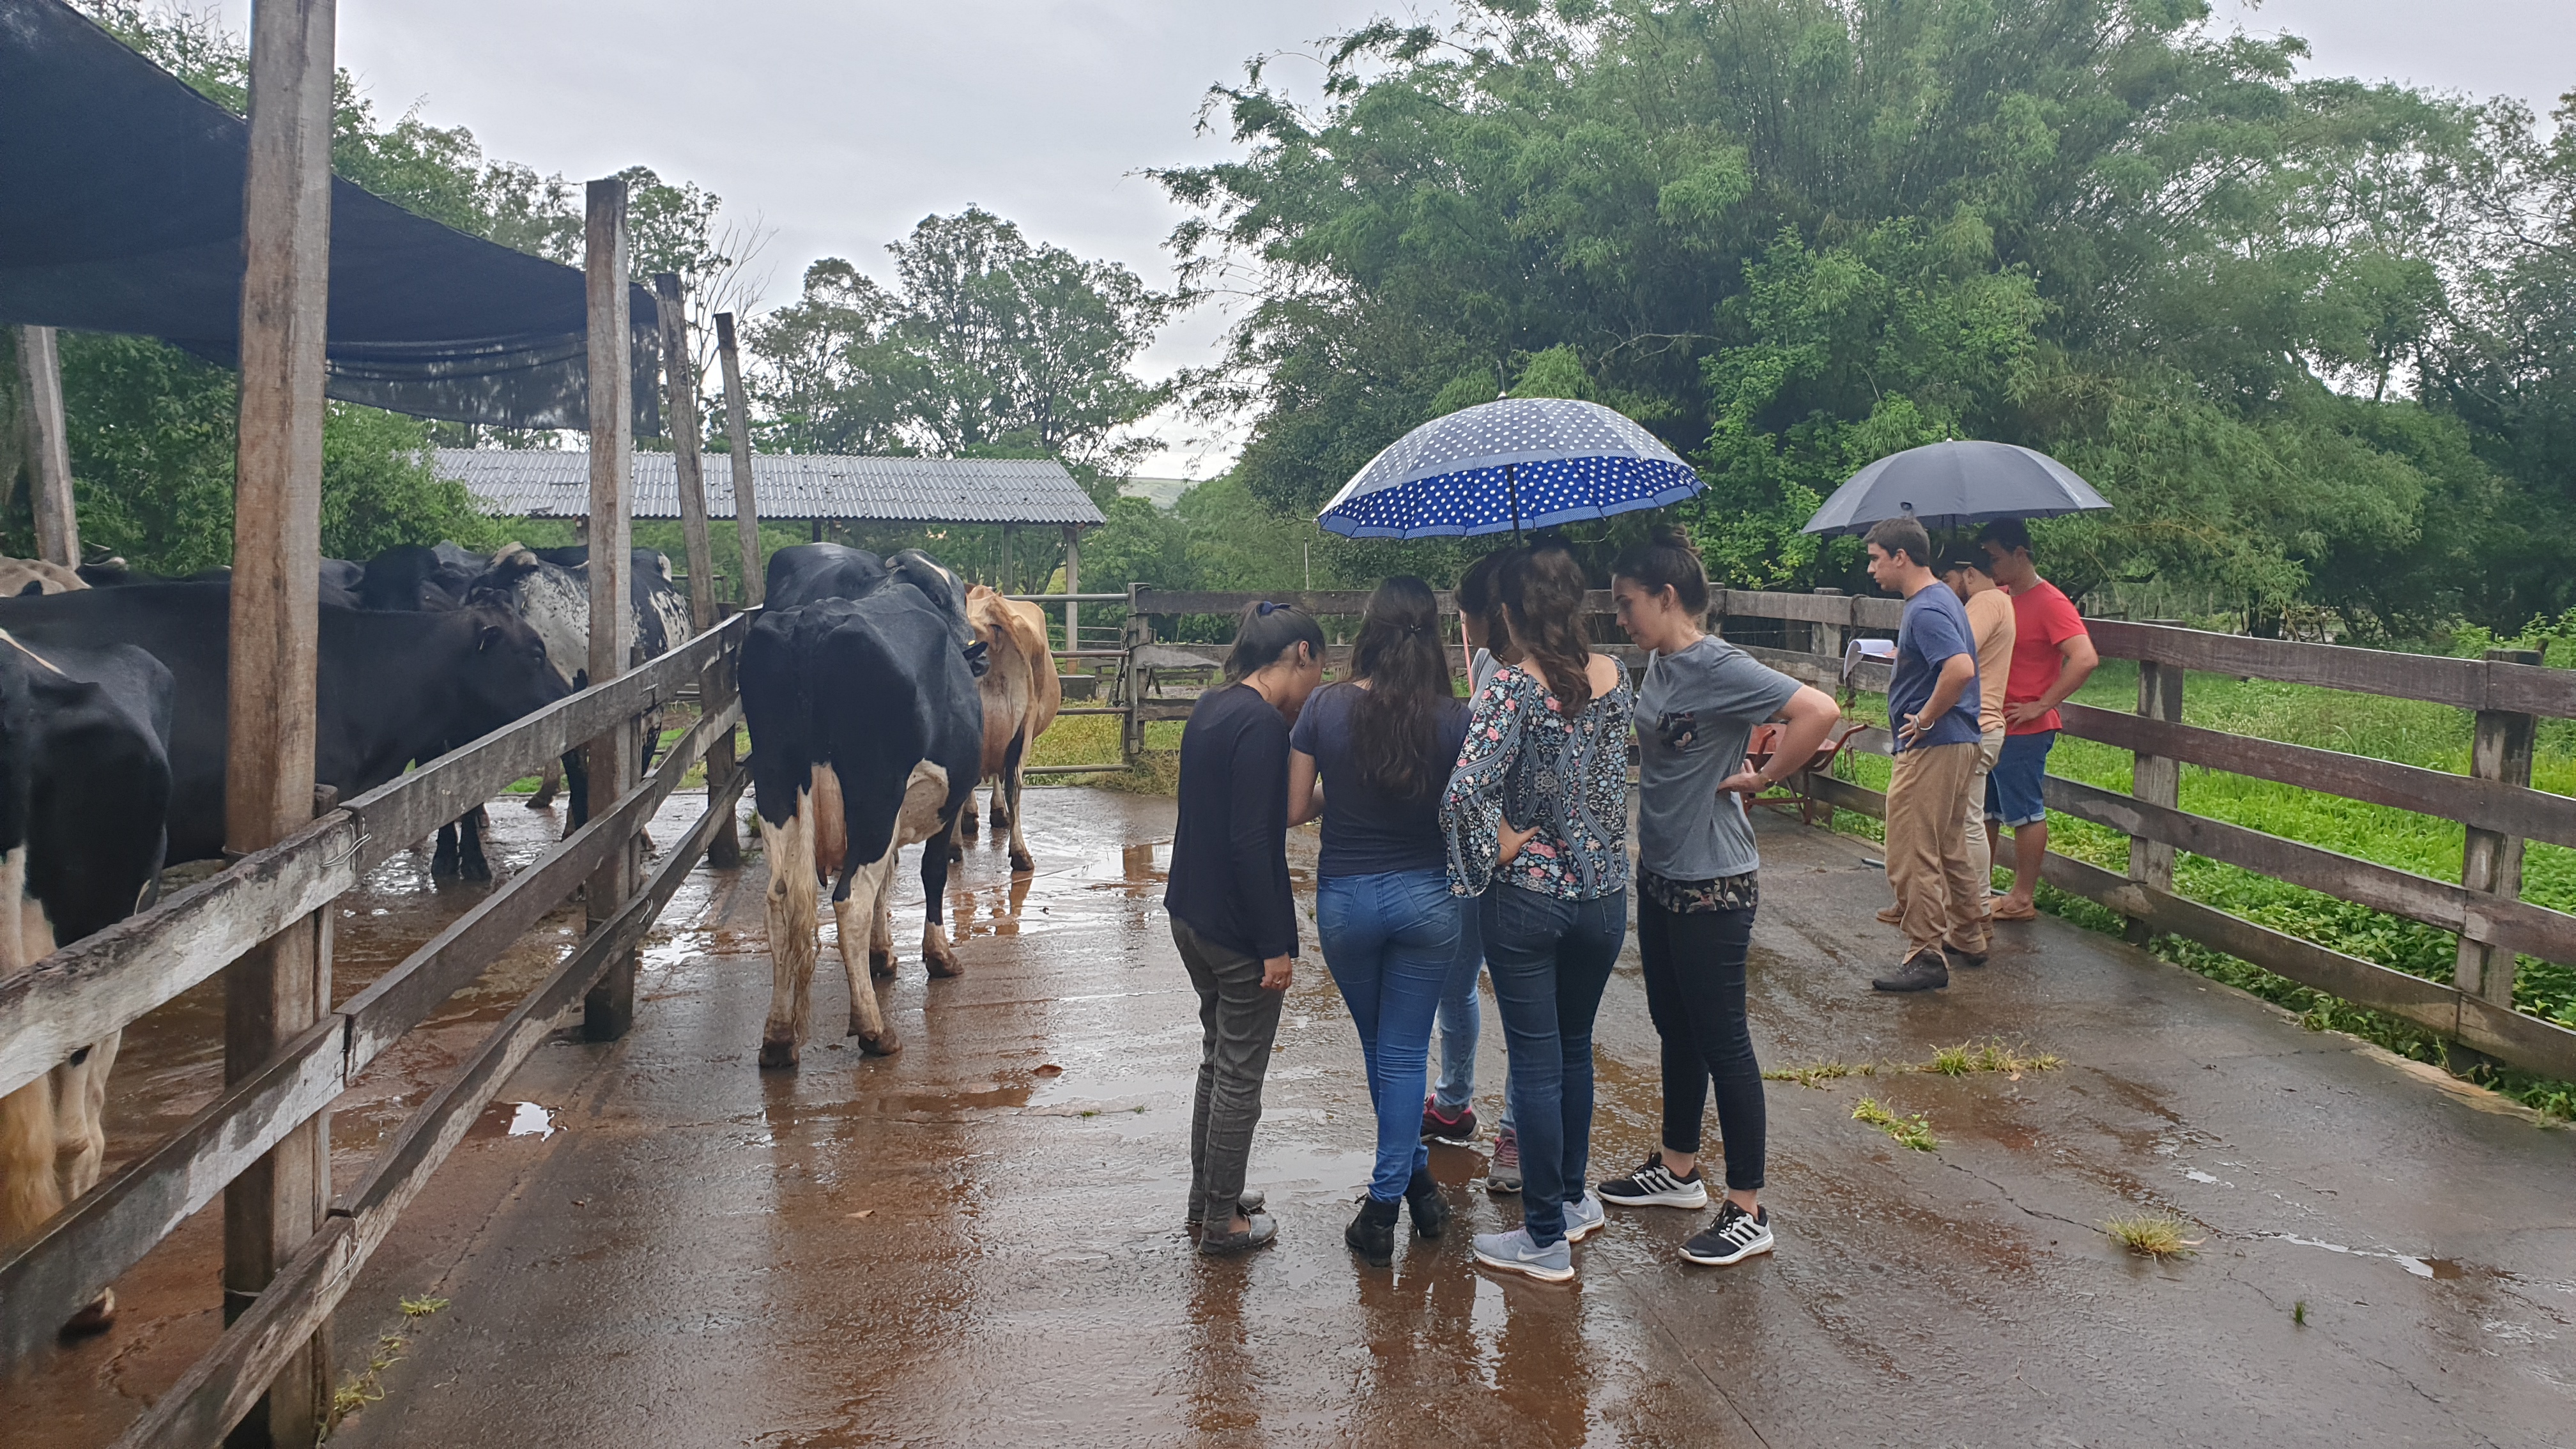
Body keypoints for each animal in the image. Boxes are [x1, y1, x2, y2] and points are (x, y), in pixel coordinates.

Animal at [742, 551, 983, 1065]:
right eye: (944, 597)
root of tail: (810, 623)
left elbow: (887, 880)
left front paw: (881, 955)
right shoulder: (947, 799)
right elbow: (930, 873)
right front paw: (938, 956)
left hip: (775, 784)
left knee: (780, 900)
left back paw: (778, 1038)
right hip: (876, 794)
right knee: (850, 899)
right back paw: (874, 1030)